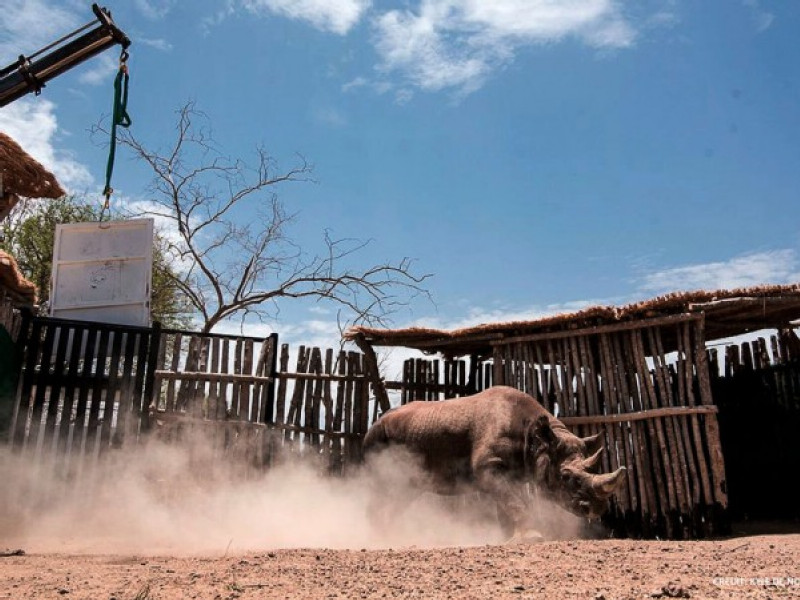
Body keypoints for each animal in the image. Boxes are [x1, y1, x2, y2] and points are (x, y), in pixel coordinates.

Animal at [360, 386, 624, 540]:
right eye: (567, 477)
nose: (598, 508)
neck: (537, 440)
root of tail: (376, 422)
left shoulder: (511, 470)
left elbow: (507, 503)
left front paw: (509, 539)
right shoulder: (488, 466)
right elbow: (514, 501)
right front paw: (532, 537)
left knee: (402, 492)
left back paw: (391, 534)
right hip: (377, 439)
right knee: (380, 486)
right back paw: (377, 536)